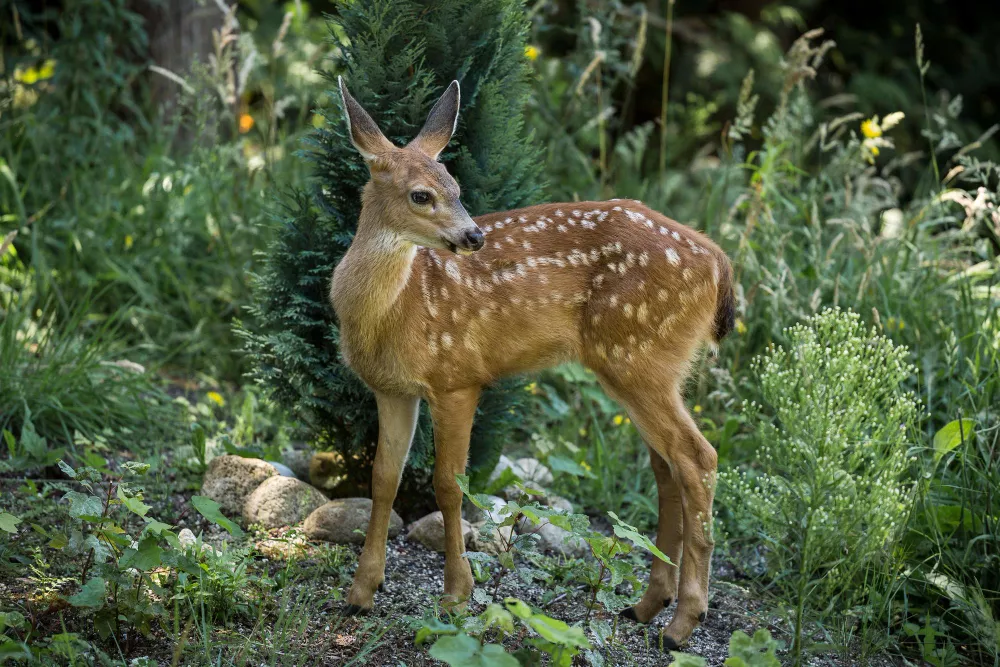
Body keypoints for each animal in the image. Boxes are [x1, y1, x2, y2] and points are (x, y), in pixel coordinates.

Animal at [331, 77, 735, 650]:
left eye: (456, 185)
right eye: (421, 194)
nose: (474, 237)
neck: (393, 310)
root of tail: (718, 261)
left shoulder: (457, 377)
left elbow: (448, 484)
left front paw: (456, 595)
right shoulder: (392, 389)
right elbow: (383, 478)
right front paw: (360, 593)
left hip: (640, 357)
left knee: (698, 458)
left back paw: (682, 624)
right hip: (647, 367)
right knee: (667, 466)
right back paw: (646, 606)